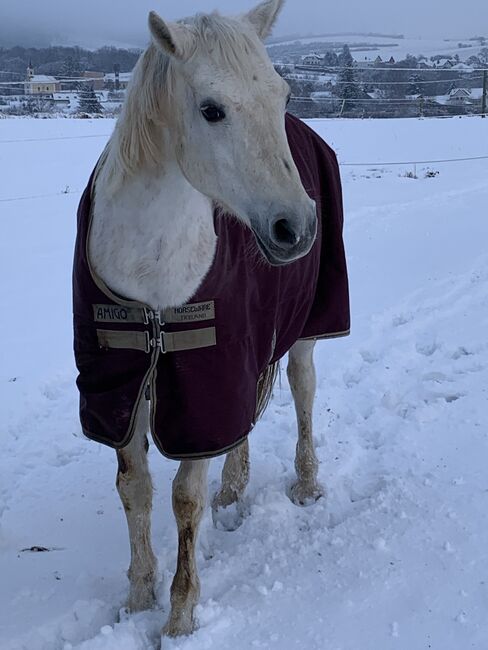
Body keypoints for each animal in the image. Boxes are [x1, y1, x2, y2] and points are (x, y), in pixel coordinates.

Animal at [90, 0, 324, 636]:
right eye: (211, 110)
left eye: (282, 95)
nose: (298, 228)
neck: (149, 265)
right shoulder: (121, 388)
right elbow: (134, 488)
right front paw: (137, 597)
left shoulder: (198, 386)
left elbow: (184, 500)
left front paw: (179, 616)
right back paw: (234, 490)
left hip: (305, 329)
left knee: (303, 390)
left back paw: (307, 483)